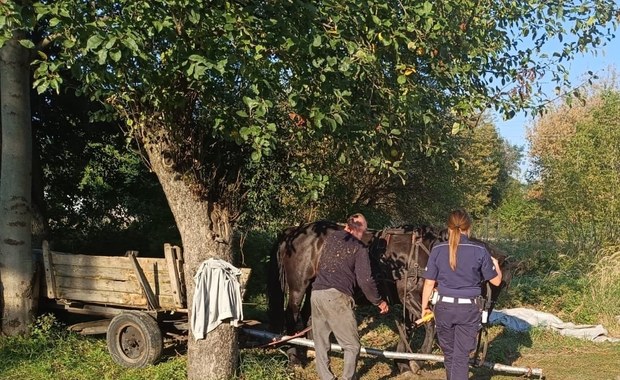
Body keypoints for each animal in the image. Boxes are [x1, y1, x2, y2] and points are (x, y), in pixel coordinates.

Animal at [266, 221, 508, 372]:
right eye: (487, 281)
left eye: (501, 285)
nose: (483, 319)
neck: (426, 256)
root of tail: (295, 231)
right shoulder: (410, 297)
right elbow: (430, 326)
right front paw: (418, 361)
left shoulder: (409, 302)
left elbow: (408, 328)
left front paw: (403, 363)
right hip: (298, 287)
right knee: (292, 315)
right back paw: (294, 358)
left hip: (315, 287)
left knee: (307, 316)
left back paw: (310, 350)